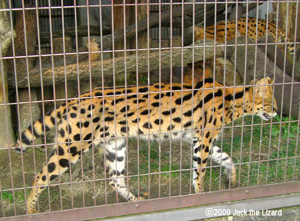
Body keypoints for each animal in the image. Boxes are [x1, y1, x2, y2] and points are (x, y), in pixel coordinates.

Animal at [15, 77, 276, 212]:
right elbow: (199, 172)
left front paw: (232, 179)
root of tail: (72, 100)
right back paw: (30, 210)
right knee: (40, 176)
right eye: (270, 103)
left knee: (115, 180)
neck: (233, 98)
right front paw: (201, 195)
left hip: (115, 146)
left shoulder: (200, 140)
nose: (276, 111)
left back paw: (135, 201)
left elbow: (227, 158)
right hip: (72, 146)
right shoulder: (203, 140)